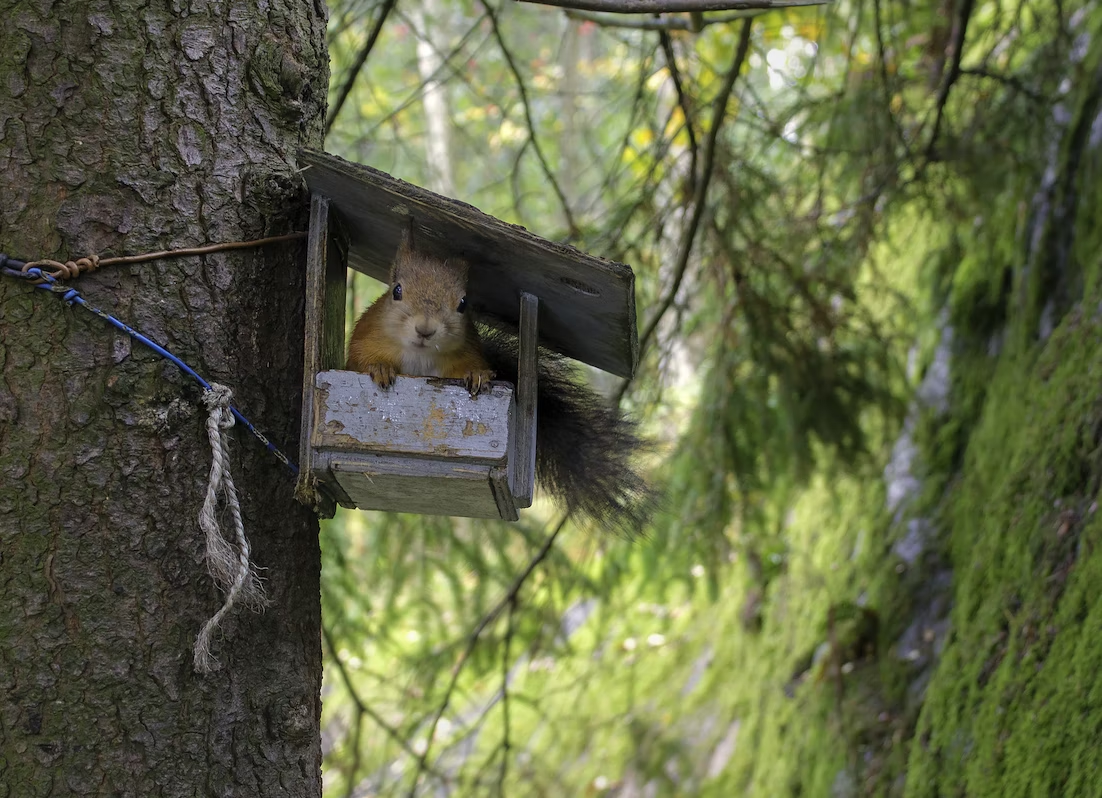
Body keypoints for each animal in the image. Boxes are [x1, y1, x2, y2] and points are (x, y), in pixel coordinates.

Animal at [346, 224, 652, 535]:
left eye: (463, 303)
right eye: (396, 290)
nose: (425, 329)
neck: (419, 355)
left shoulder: (466, 353)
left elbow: (471, 368)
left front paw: (477, 375)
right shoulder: (365, 339)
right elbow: (359, 361)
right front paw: (380, 368)